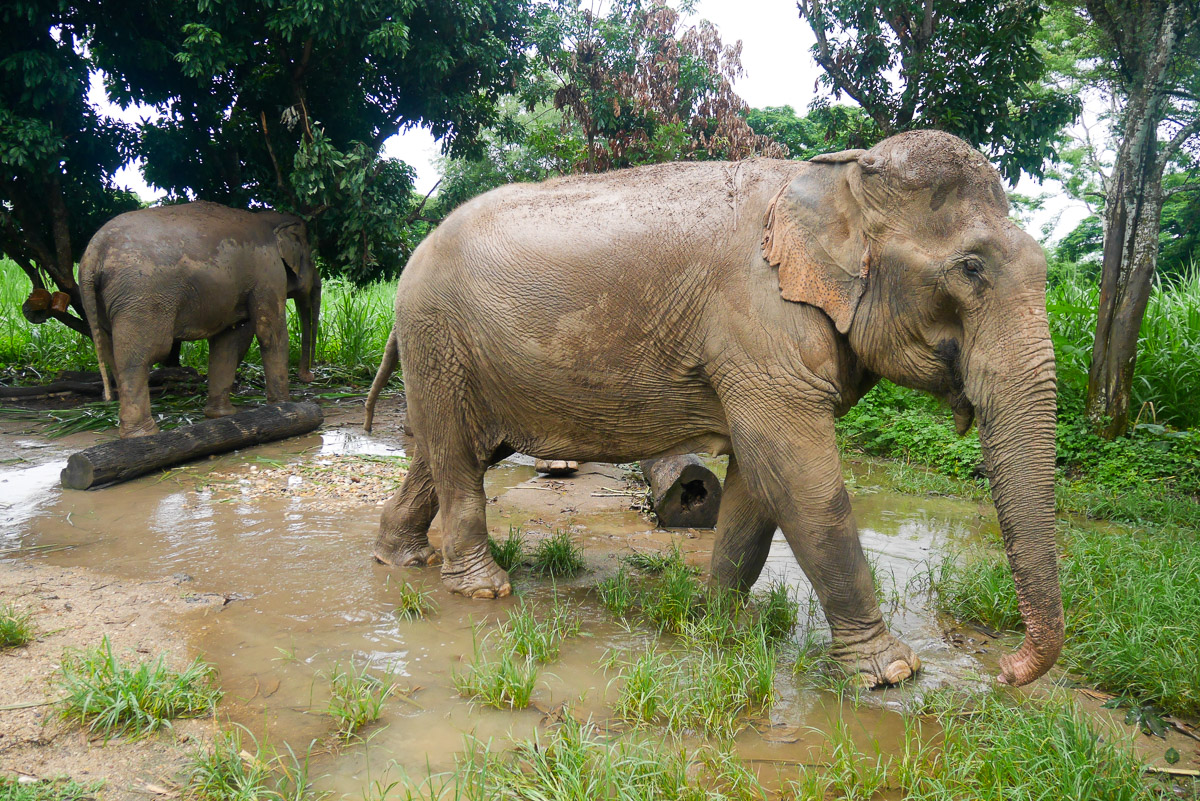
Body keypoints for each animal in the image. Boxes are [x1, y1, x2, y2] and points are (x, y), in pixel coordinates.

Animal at [81, 200, 321, 438]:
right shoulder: (268, 273)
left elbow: (227, 341)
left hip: (105, 303)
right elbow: (270, 333)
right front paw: (285, 407)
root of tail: (93, 253)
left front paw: (222, 415)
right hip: (141, 299)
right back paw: (143, 433)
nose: (309, 376)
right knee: (141, 356)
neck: (271, 218)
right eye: (311, 258)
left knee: (111, 352)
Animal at [362, 131, 1060, 690]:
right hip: (438, 337)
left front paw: (716, 623)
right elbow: (803, 479)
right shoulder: (760, 325)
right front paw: (890, 673)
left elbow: (760, 479)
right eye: (970, 269)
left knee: (454, 452)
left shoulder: (761, 354)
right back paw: (483, 588)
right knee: (456, 454)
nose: (1004, 671)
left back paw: (400, 558)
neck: (836, 176)